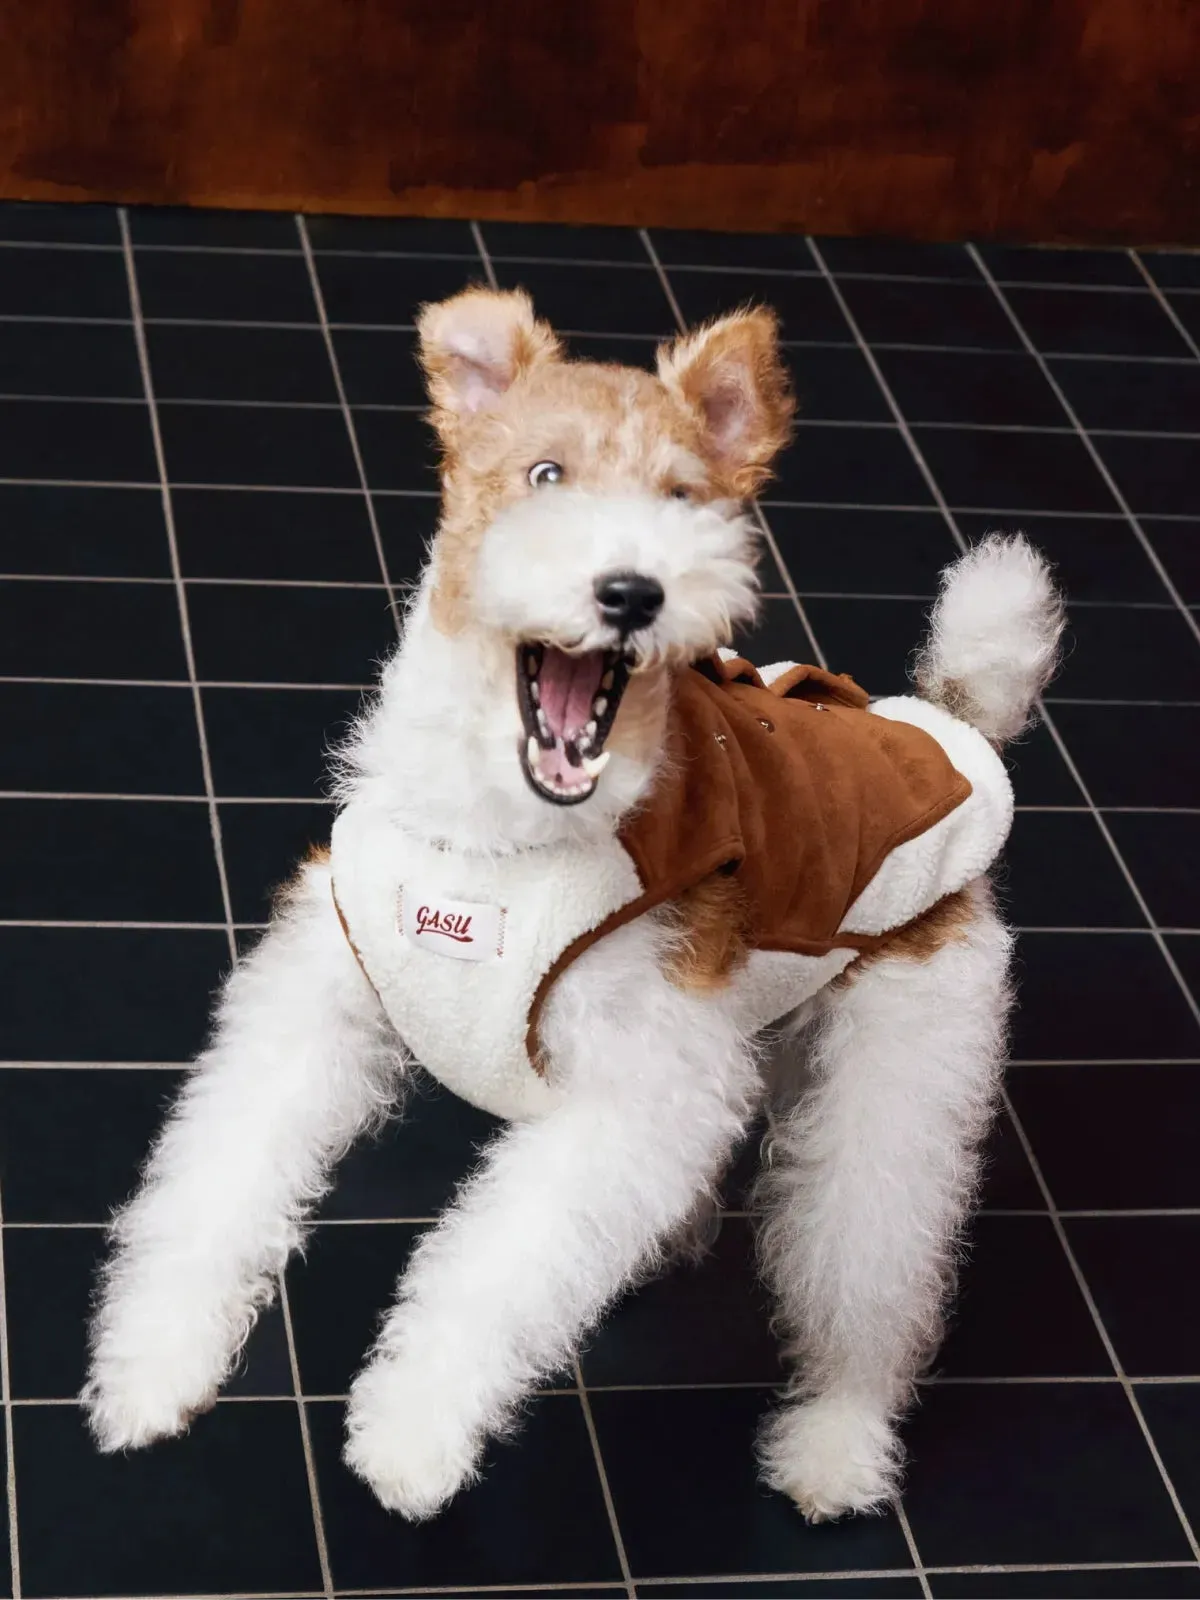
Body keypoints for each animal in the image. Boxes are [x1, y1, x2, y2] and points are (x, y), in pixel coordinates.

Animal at [80, 288, 1068, 1523]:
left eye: (683, 498)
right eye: (546, 473)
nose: (633, 590)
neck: (494, 843)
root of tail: (946, 726)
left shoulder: (634, 1099)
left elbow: (491, 1269)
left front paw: (409, 1433)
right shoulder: (316, 1002)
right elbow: (215, 1178)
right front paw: (150, 1365)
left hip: (902, 1076)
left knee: (873, 1270)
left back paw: (836, 1441)